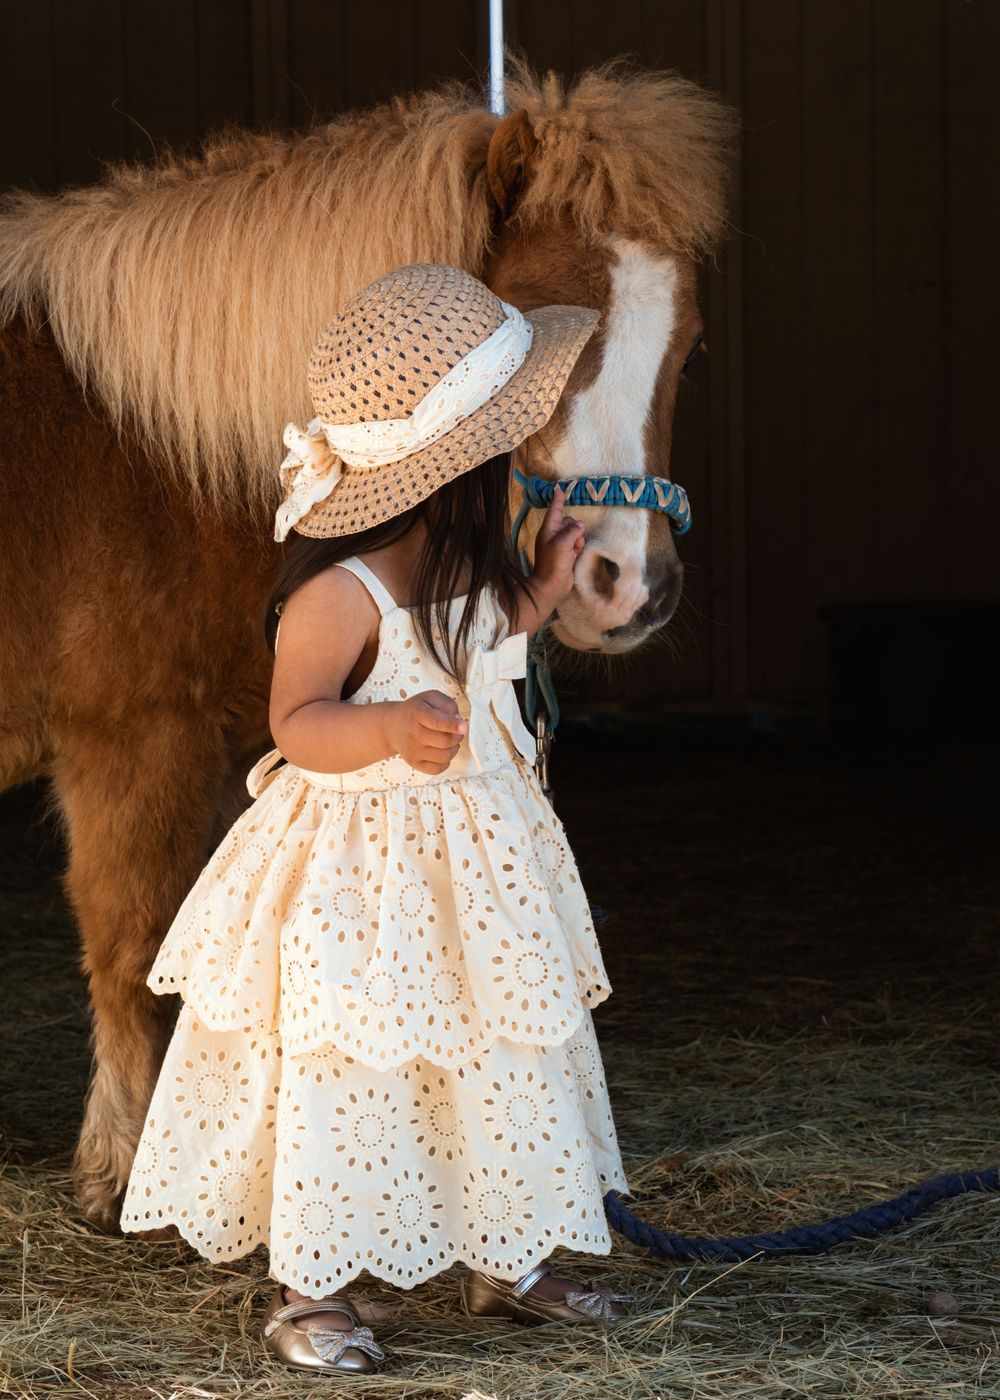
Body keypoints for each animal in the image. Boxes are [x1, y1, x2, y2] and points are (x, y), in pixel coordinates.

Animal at [0, 61, 733, 1230]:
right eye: (539, 322)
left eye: (691, 346)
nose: (630, 584)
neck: (145, 450)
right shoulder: (130, 739)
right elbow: (131, 940)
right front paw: (122, 1168)